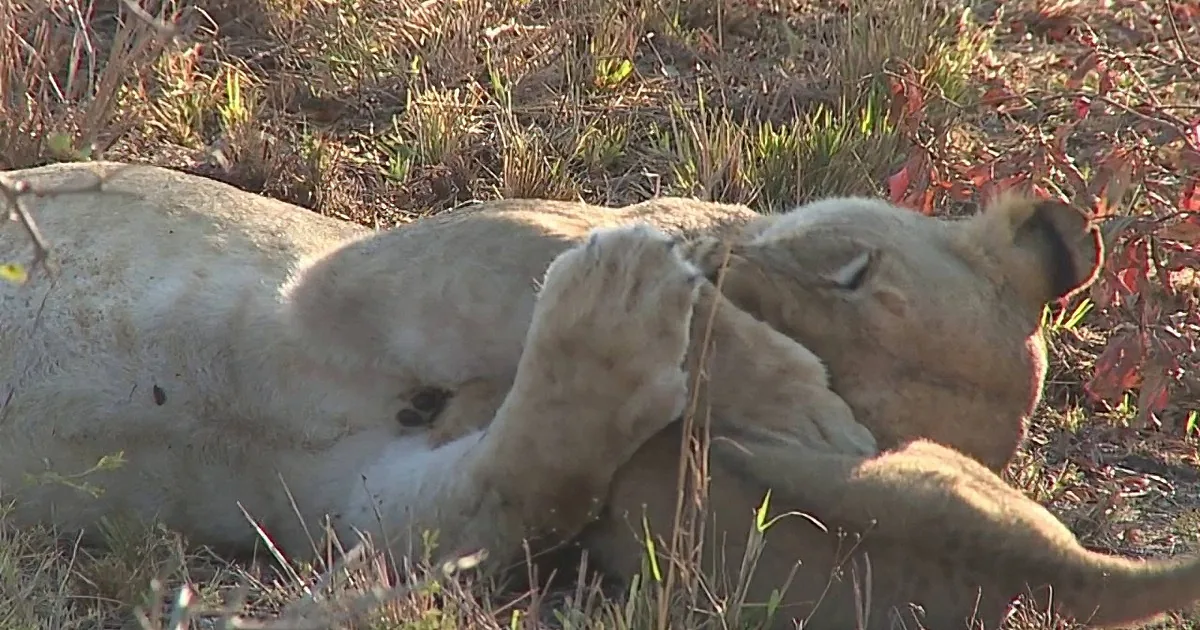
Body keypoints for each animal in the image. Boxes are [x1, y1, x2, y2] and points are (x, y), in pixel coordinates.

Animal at [2, 161, 1198, 629]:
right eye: (850, 270)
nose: (712, 268)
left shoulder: (360, 494)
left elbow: (503, 493)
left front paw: (619, 315)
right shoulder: (351, 270)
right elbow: (550, 259)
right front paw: (789, 392)